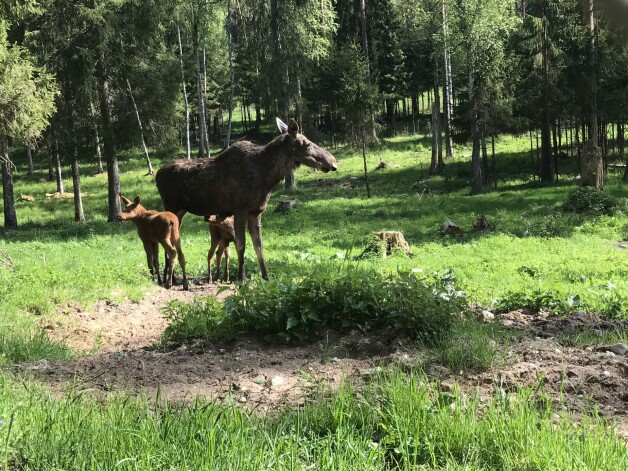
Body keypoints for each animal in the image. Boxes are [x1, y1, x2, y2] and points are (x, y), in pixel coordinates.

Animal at [155, 119, 336, 280]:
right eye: (307, 144)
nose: (333, 162)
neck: (268, 177)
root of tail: (157, 174)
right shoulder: (240, 209)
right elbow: (241, 245)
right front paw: (241, 278)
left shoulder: (256, 211)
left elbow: (259, 245)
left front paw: (266, 277)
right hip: (171, 206)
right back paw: (168, 278)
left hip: (181, 210)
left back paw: (169, 276)